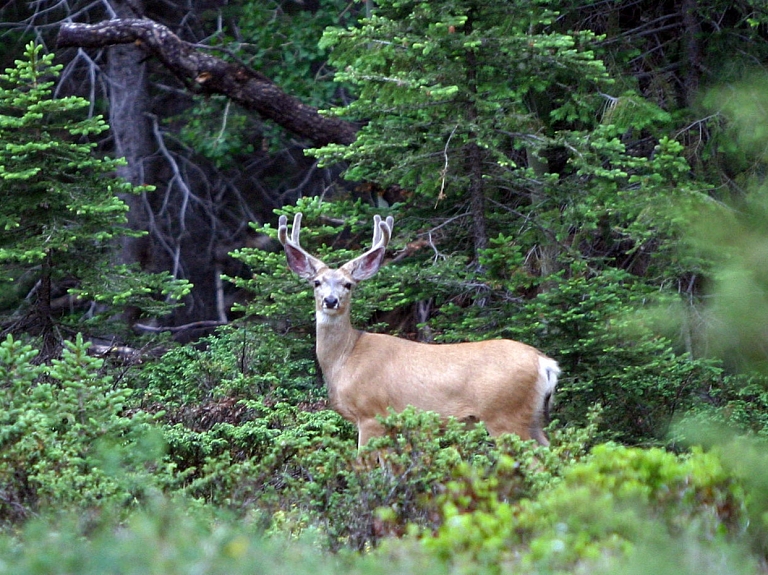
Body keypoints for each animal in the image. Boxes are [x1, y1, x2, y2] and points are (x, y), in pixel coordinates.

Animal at [276, 213, 560, 450]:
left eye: (348, 284)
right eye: (317, 282)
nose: (331, 301)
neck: (344, 359)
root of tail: (545, 363)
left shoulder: (371, 414)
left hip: (504, 414)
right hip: (532, 418)